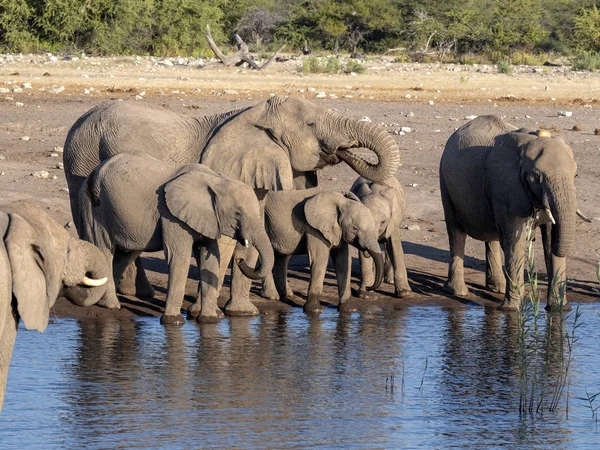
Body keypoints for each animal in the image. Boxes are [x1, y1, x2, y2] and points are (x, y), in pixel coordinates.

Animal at [77, 153, 274, 326]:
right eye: (238, 213)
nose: (240, 260)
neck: (216, 180)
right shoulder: (171, 215)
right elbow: (179, 258)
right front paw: (174, 322)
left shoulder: (208, 218)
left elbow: (210, 258)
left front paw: (209, 320)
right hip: (95, 208)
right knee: (105, 250)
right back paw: (111, 305)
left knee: (126, 255)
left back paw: (107, 303)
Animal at [438, 116, 588, 312]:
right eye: (535, 177)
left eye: (575, 175)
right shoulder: (506, 187)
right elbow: (514, 243)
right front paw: (512, 310)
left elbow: (550, 238)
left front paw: (558, 310)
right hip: (445, 182)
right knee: (456, 232)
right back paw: (458, 292)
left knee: (491, 236)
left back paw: (499, 288)